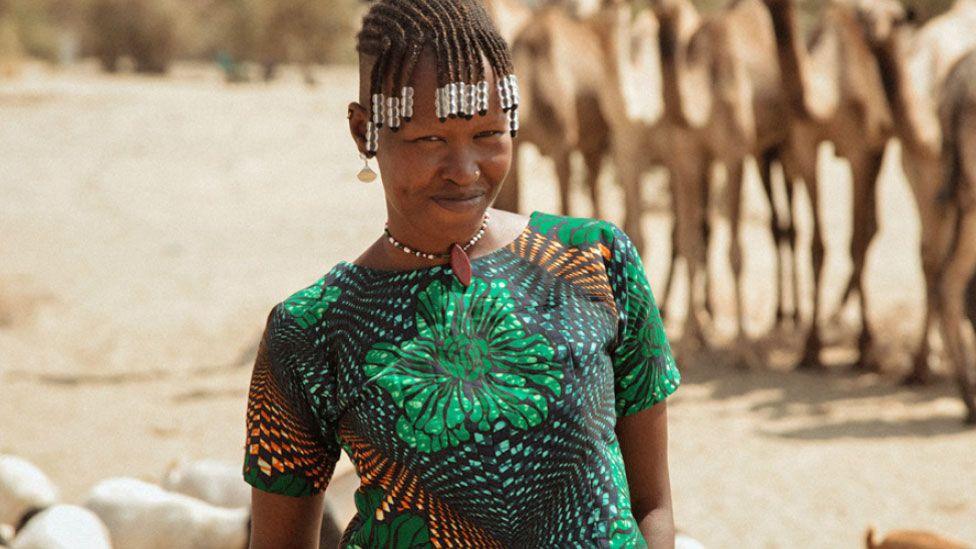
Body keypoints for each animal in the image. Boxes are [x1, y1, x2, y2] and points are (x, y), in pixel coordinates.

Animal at [764, 0, 900, 370]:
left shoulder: (860, 151)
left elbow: (854, 241)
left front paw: (865, 348)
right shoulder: (805, 147)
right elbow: (817, 246)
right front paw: (812, 348)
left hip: (880, 147)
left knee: (869, 229)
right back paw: (834, 315)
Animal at [856, 0, 976, 386]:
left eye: (893, 17)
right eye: (861, 13)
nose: (870, 29)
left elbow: (930, 262)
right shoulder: (920, 177)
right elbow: (929, 261)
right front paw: (921, 366)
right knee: (947, 274)